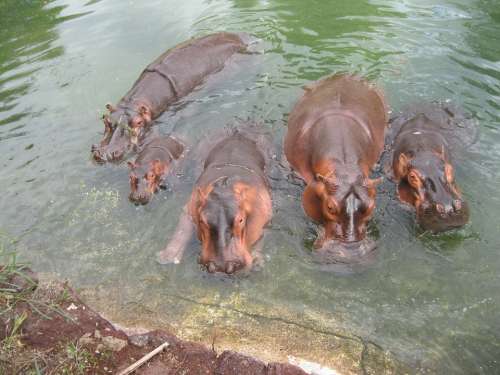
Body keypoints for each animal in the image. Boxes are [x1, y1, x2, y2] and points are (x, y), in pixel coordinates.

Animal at [157, 129, 272, 276]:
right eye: (202, 220)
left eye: (241, 220)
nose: (221, 265)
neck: (224, 186)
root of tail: (238, 132)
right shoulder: (190, 208)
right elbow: (181, 231)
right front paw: (165, 258)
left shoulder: (265, 217)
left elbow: (261, 237)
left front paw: (258, 263)